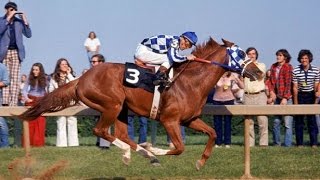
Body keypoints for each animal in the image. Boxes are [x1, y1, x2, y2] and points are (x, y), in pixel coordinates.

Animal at [19, 37, 262, 170]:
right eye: (241, 53)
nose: (259, 72)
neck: (190, 82)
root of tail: (82, 77)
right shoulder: (169, 120)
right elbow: (179, 148)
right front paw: (155, 148)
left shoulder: (190, 119)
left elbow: (212, 133)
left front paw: (200, 163)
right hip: (112, 105)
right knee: (102, 131)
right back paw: (141, 153)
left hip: (122, 109)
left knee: (120, 134)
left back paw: (138, 155)